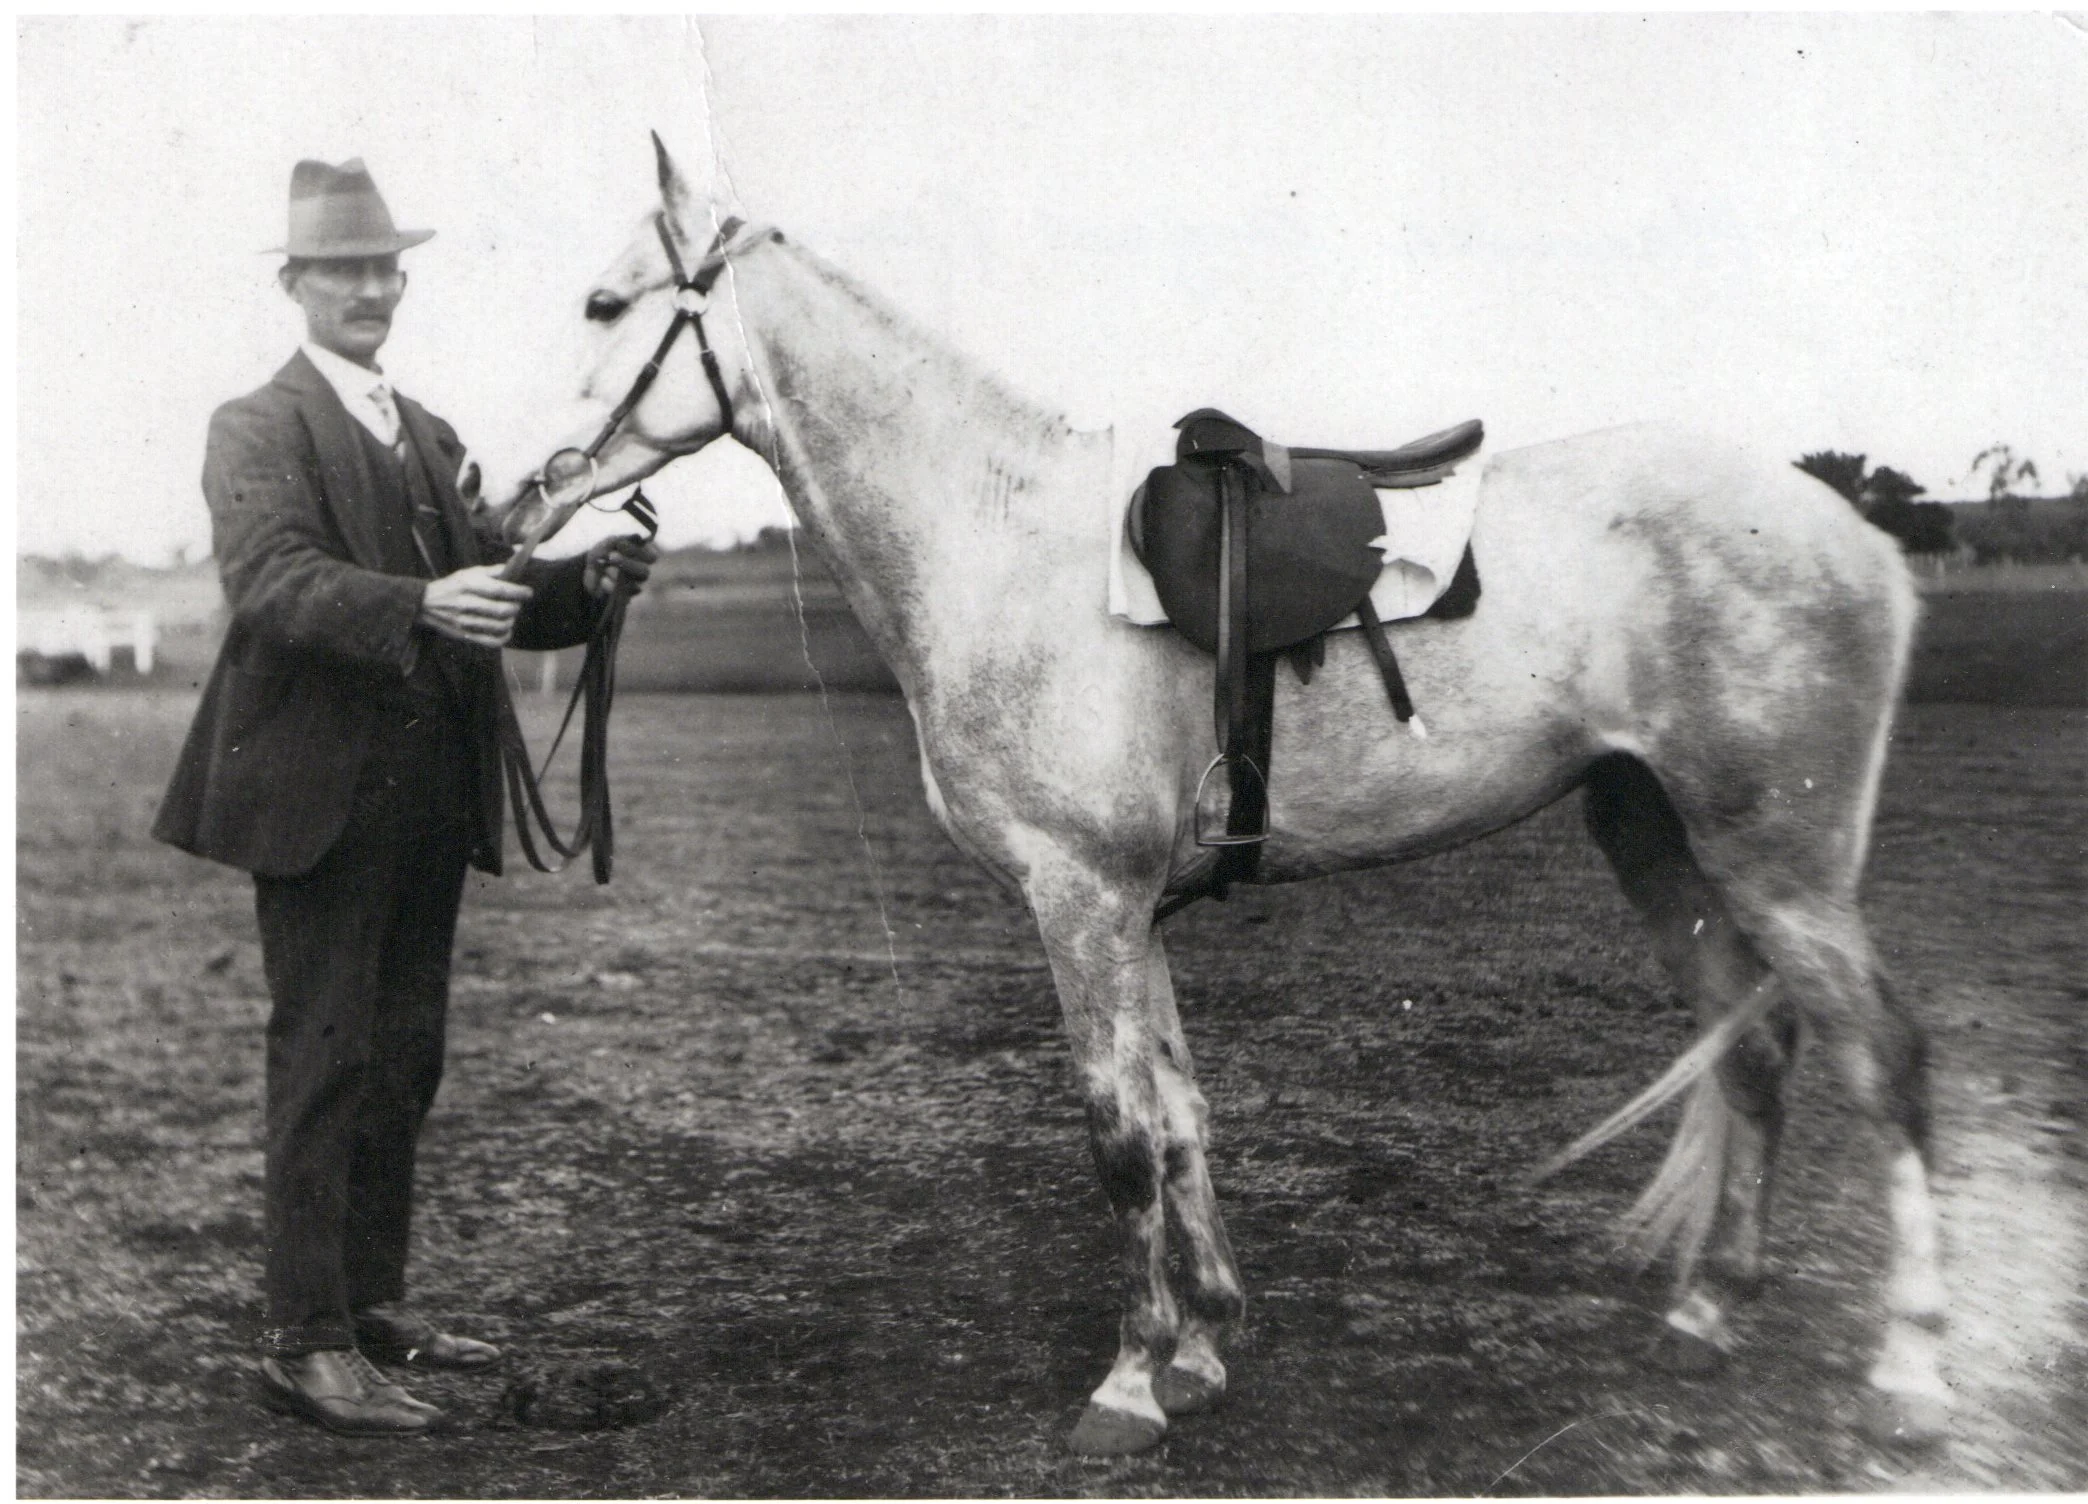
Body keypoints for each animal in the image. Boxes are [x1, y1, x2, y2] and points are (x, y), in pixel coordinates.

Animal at [492, 136, 1951, 1457]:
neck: (999, 544)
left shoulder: (1080, 897)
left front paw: (1130, 1387)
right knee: (1757, 1047)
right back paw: (1710, 1314)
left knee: (1884, 1060)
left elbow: (1119, 1138)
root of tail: (1859, 536)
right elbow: (1181, 1120)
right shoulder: (1135, 911)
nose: (505, 498)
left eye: (606, 305)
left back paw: (1914, 1373)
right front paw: (1201, 1348)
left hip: (1781, 861)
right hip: (1658, 839)